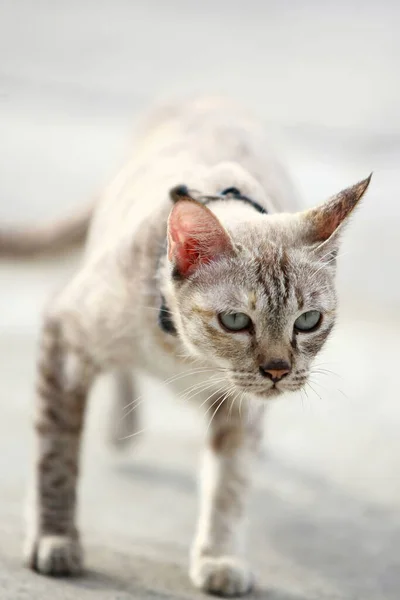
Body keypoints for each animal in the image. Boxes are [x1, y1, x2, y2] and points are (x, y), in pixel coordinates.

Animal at [2, 98, 372, 596]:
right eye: (235, 321)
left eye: (308, 321)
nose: (277, 371)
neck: (187, 356)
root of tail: (203, 95)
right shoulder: (65, 333)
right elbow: (56, 458)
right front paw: (54, 539)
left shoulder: (238, 405)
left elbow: (228, 485)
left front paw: (219, 559)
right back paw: (120, 429)